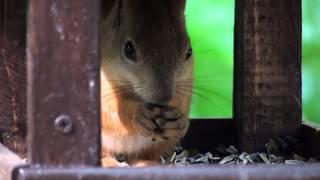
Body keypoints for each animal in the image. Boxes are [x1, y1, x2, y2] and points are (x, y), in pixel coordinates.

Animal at [101, 0, 194, 167]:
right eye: (128, 49)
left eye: (189, 52)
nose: (164, 97)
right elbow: (109, 110)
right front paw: (138, 114)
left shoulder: (186, 81)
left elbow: (182, 103)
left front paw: (180, 122)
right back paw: (108, 162)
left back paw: (146, 162)